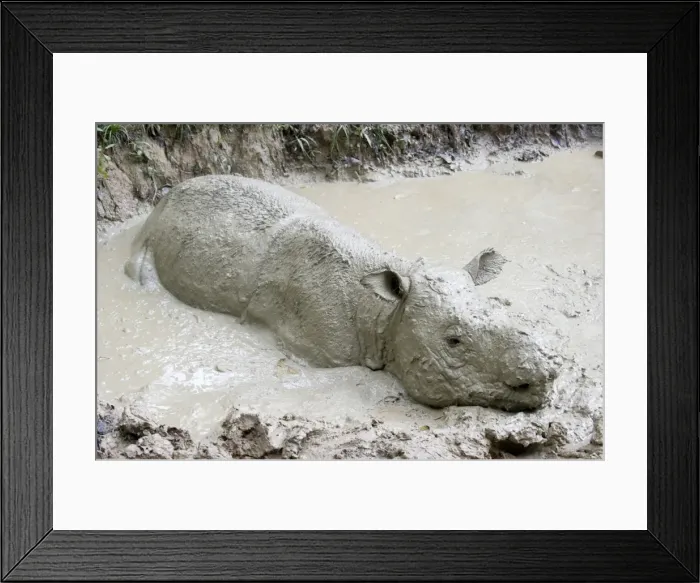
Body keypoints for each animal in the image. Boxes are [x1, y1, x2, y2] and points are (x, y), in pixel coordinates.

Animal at [125, 174, 561, 411]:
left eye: (500, 308)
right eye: (453, 342)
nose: (542, 379)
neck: (386, 311)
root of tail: (167, 194)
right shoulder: (322, 348)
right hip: (152, 231)